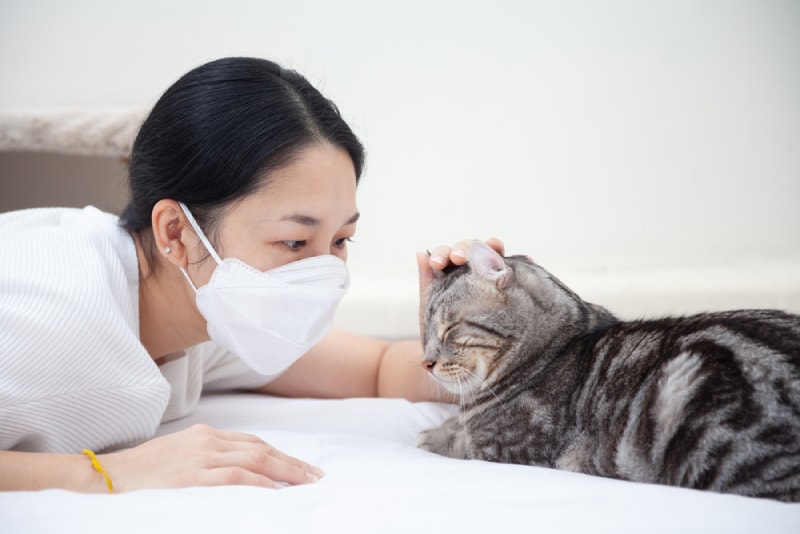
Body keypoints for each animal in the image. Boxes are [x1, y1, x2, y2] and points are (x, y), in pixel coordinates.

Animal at [418, 243, 800, 502]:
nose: (426, 362)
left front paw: (434, 435)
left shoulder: (507, 451)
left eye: (450, 329)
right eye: (424, 333)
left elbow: (457, 443)